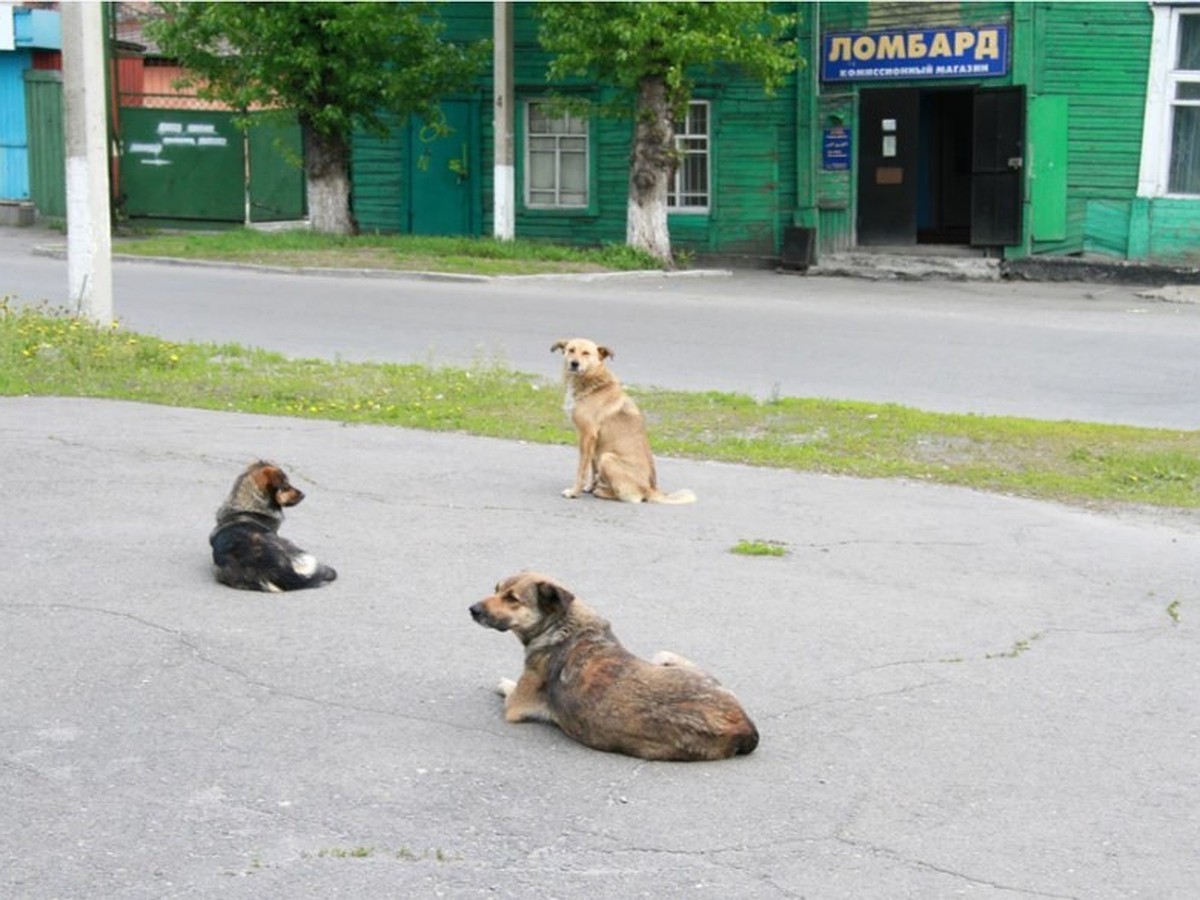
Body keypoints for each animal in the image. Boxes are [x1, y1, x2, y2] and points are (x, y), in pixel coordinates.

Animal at [470, 571, 758, 763]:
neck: (563, 626)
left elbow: (509, 688)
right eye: (496, 589)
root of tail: (743, 726)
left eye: (512, 599)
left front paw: (504, 682)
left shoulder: (515, 705)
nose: (472, 609)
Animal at [549, 338, 696, 508]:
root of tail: (650, 490)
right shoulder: (593, 442)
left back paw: (602, 491)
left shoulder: (587, 436)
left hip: (607, 457)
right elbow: (592, 467)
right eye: (571, 350)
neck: (593, 382)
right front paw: (589, 487)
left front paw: (574, 492)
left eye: (586, 353)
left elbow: (582, 469)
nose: (574, 363)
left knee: (630, 497)